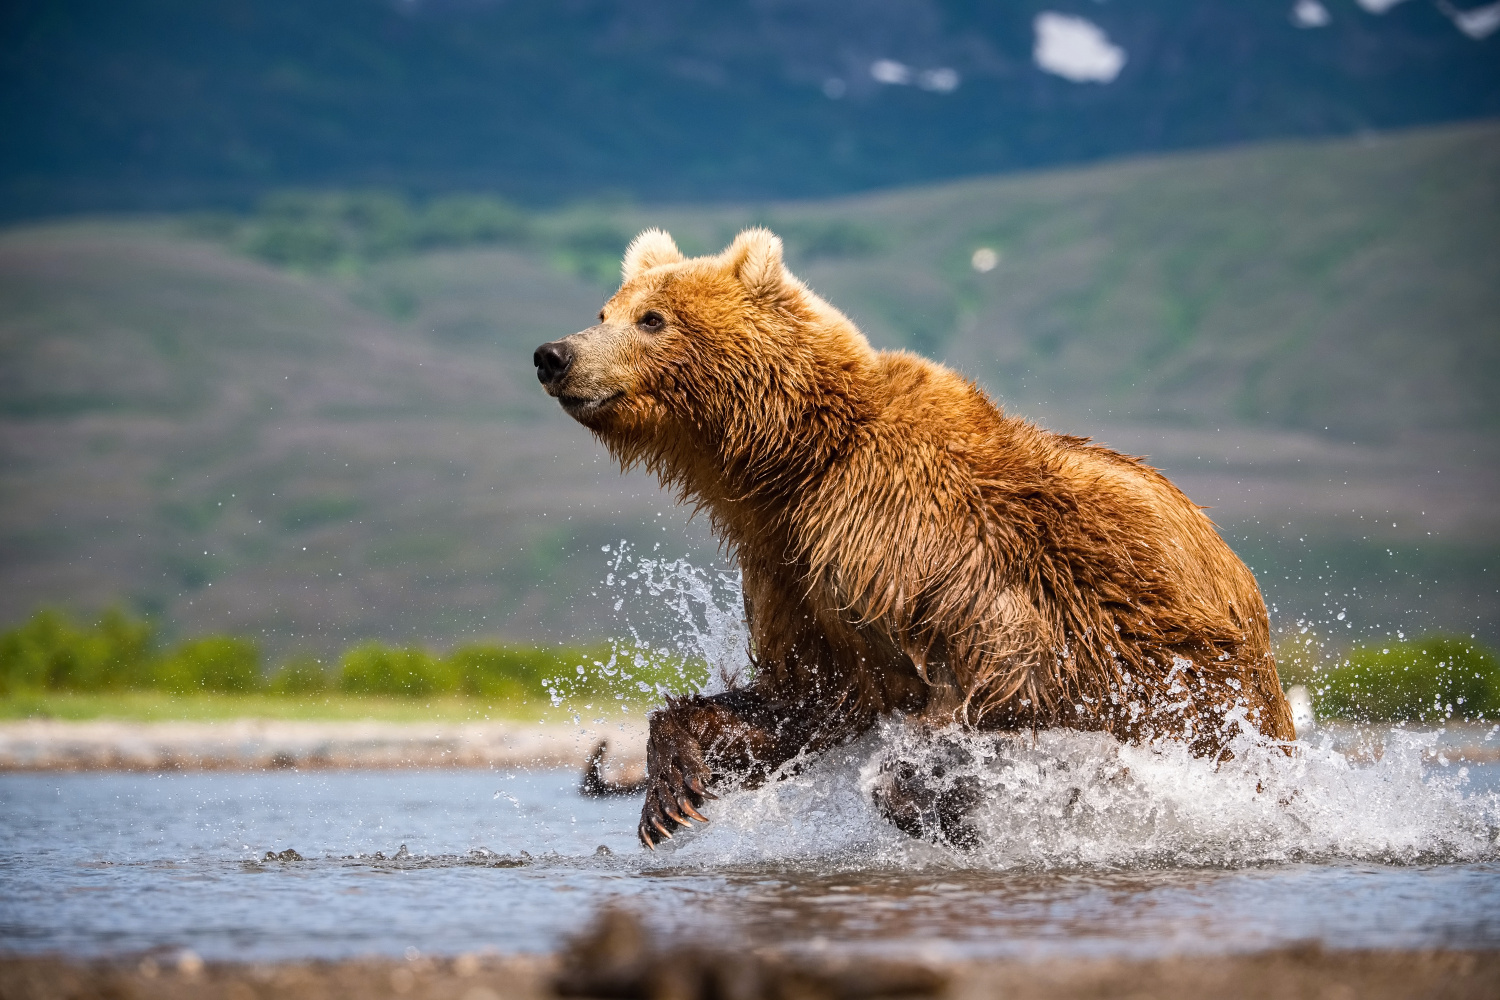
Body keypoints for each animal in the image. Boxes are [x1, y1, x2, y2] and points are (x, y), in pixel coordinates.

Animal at [534, 230, 1296, 851]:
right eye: (605, 311)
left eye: (652, 319)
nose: (553, 354)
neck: (795, 464)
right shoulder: (791, 570)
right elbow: (804, 697)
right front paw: (670, 794)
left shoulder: (921, 542)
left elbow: (1001, 667)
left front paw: (943, 807)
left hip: (1199, 675)